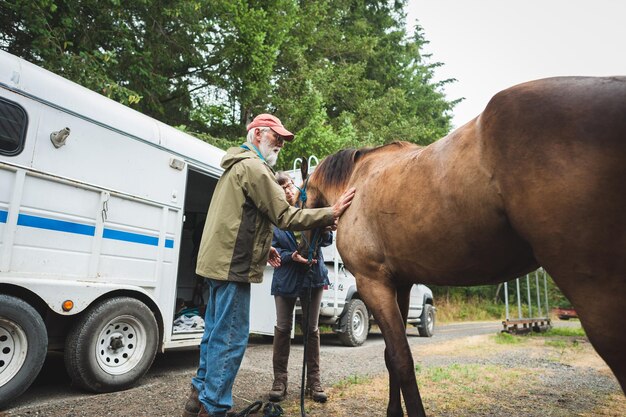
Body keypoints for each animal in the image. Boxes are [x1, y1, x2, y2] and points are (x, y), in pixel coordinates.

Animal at [298, 76, 624, 414]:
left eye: (299, 197)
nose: (302, 252)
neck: (356, 181)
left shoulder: (373, 283)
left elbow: (401, 360)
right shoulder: (400, 284)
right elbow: (391, 357)